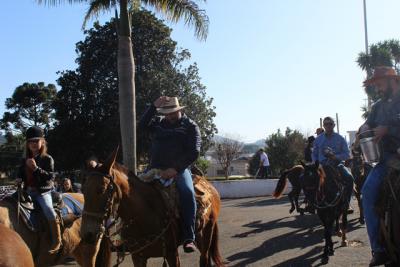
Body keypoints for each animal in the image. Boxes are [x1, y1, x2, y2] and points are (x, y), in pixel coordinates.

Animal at [79, 150, 223, 267]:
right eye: (83, 190)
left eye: (101, 190)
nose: (87, 234)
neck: (143, 217)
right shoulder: (138, 257)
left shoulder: (172, 254)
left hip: (208, 230)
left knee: (204, 258)